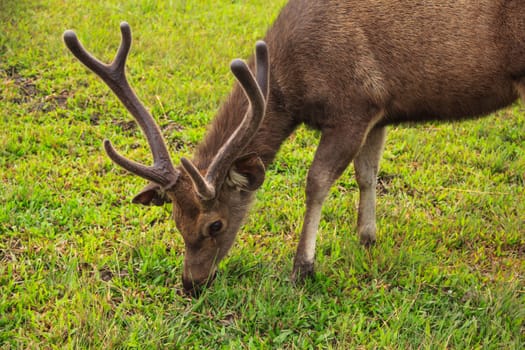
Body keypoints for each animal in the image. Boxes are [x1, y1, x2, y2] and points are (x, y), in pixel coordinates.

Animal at [64, 0, 524, 296]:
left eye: (215, 225)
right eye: (175, 222)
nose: (191, 284)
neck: (292, 83)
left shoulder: (352, 105)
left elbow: (316, 182)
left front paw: (303, 267)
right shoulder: (379, 109)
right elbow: (368, 173)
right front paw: (367, 237)